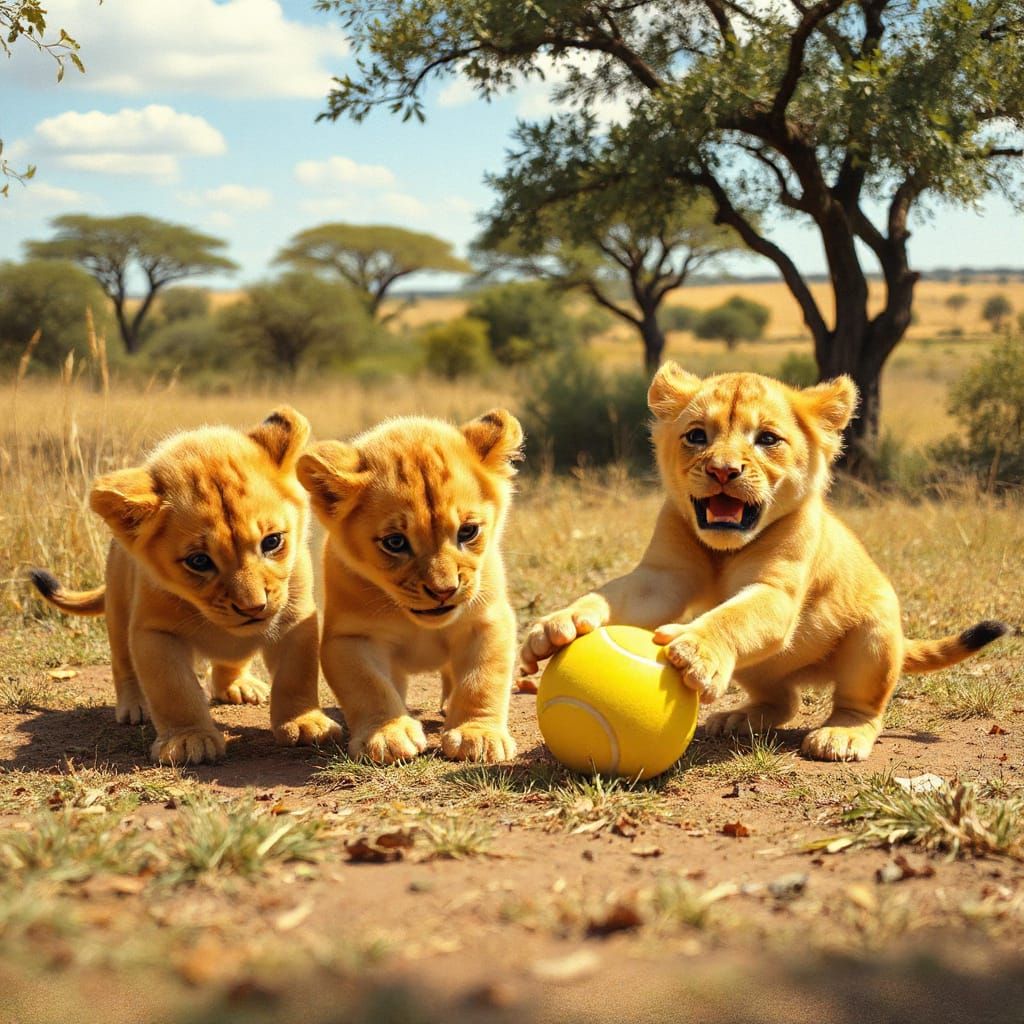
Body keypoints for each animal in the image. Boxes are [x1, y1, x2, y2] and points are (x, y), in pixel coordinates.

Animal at [30, 407, 342, 765]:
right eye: (199, 561)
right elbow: (173, 689)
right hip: (119, 609)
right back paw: (134, 706)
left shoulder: (294, 618)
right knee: (123, 662)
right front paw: (189, 739)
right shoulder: (155, 632)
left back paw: (239, 686)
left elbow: (296, 675)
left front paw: (305, 724)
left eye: (272, 541)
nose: (253, 607)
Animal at [296, 410, 523, 765]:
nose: (444, 590)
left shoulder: (486, 621)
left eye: (468, 531)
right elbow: (368, 685)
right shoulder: (350, 638)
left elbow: (482, 678)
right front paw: (388, 734)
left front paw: (478, 735)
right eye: (395, 542)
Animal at [521, 364, 1008, 762]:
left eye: (767, 439)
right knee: (784, 701)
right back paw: (737, 719)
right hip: (759, 668)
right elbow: (612, 594)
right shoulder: (662, 577)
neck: (724, 549)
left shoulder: (777, 593)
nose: (722, 471)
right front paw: (559, 624)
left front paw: (696, 648)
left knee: (862, 704)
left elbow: (734, 615)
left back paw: (841, 735)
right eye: (696, 435)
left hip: (875, 637)